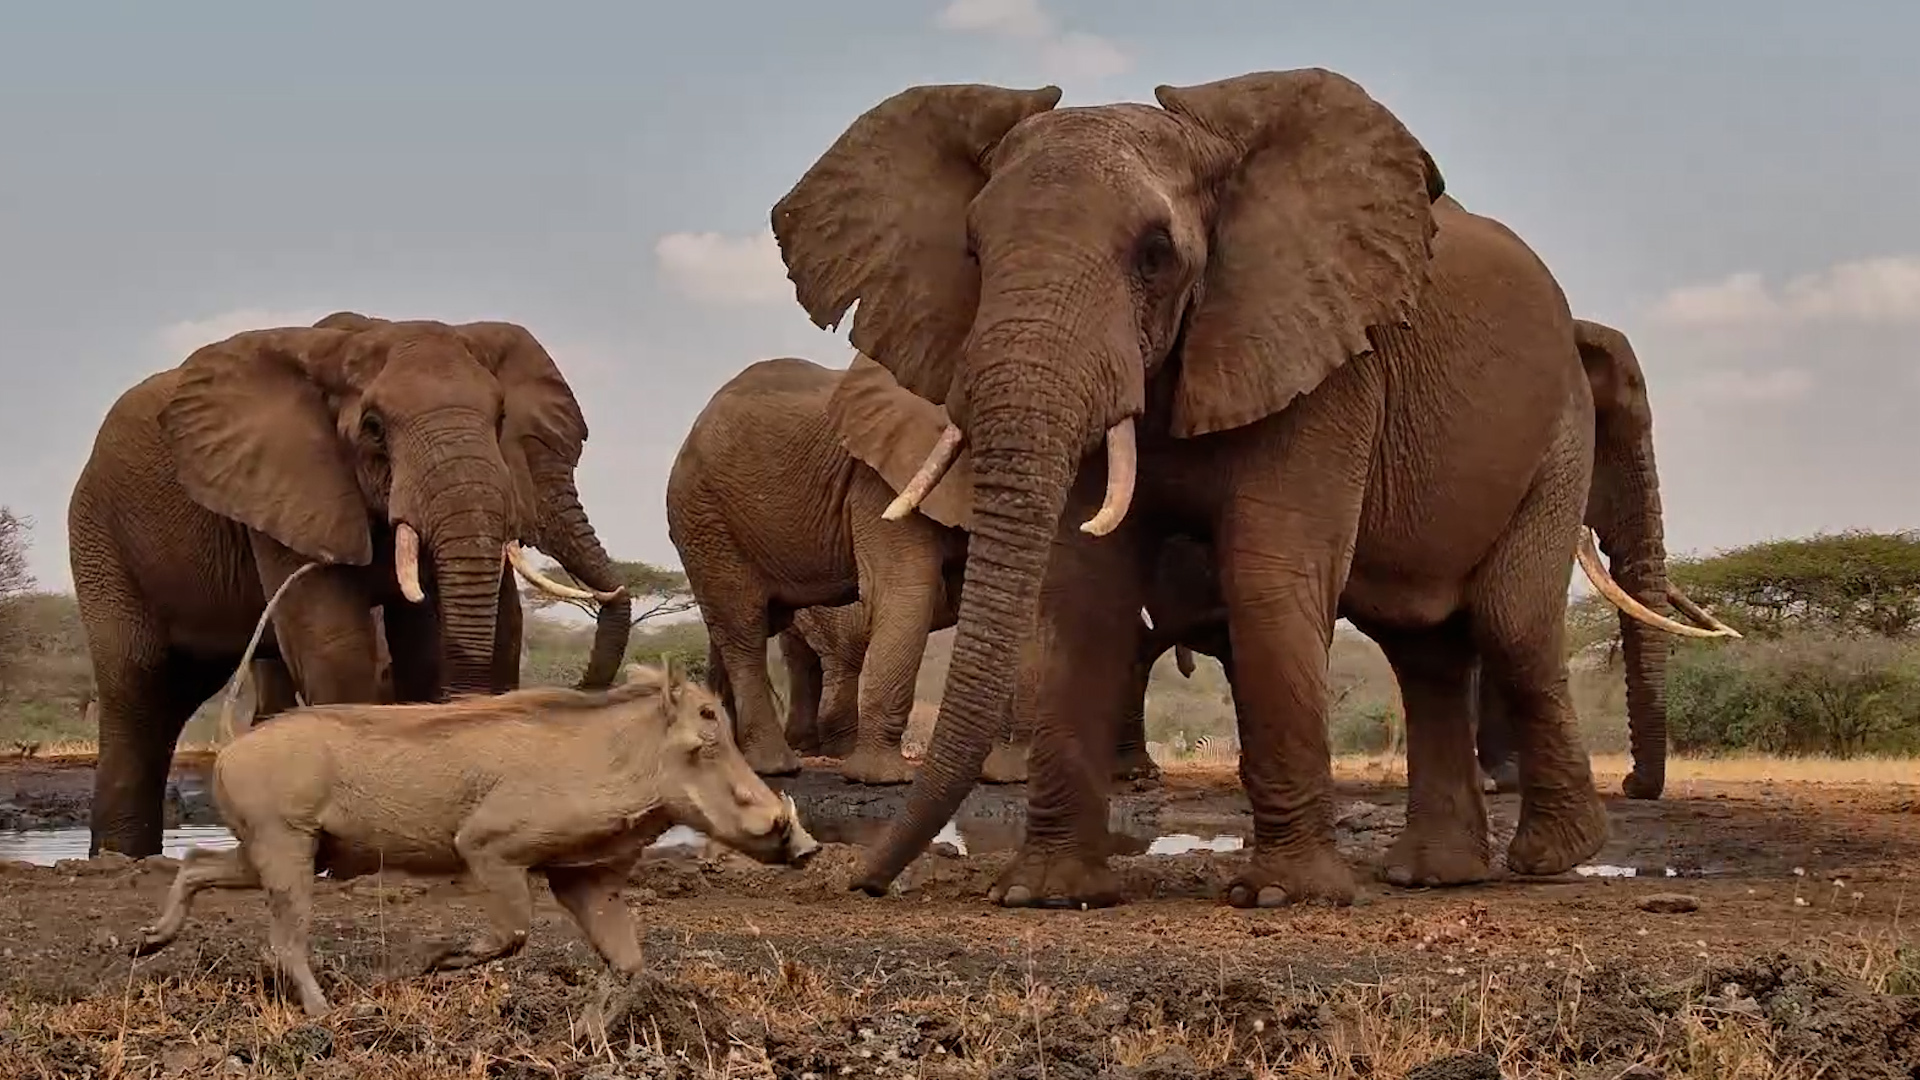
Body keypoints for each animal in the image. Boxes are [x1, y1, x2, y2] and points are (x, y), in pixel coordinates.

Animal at [69, 312, 633, 857]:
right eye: (374, 428)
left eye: (499, 420)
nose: (584, 687)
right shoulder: (288, 484)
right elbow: (332, 640)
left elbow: (431, 642)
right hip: (99, 534)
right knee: (139, 684)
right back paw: (121, 859)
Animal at [667, 356, 974, 783]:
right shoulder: (876, 481)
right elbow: (903, 589)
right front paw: (884, 779)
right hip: (704, 515)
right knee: (750, 631)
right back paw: (781, 765)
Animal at [767, 67, 1701, 909]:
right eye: (972, 252)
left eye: (1156, 255)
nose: (861, 880)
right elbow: (1085, 592)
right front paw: (1046, 895)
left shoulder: (1325, 357)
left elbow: (1267, 577)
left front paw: (1284, 896)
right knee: (1424, 647)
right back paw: (1437, 875)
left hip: (1556, 436)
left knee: (1508, 622)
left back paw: (1549, 859)